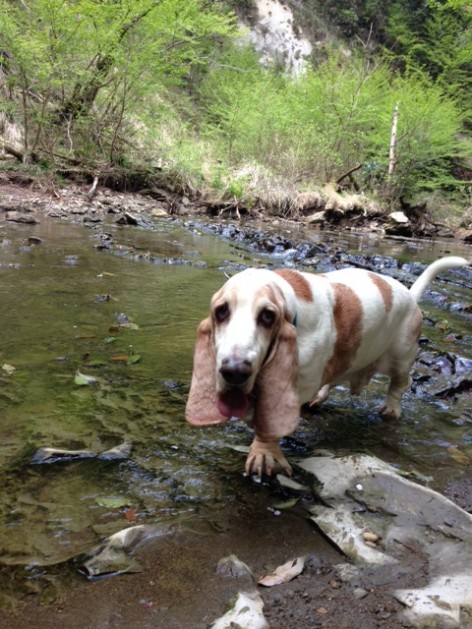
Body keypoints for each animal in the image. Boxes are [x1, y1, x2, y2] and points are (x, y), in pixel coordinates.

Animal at [186, 256, 469, 476]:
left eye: (268, 316)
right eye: (221, 311)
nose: (234, 371)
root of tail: (410, 295)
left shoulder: (299, 383)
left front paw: (265, 453)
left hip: (401, 357)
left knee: (401, 383)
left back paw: (391, 409)